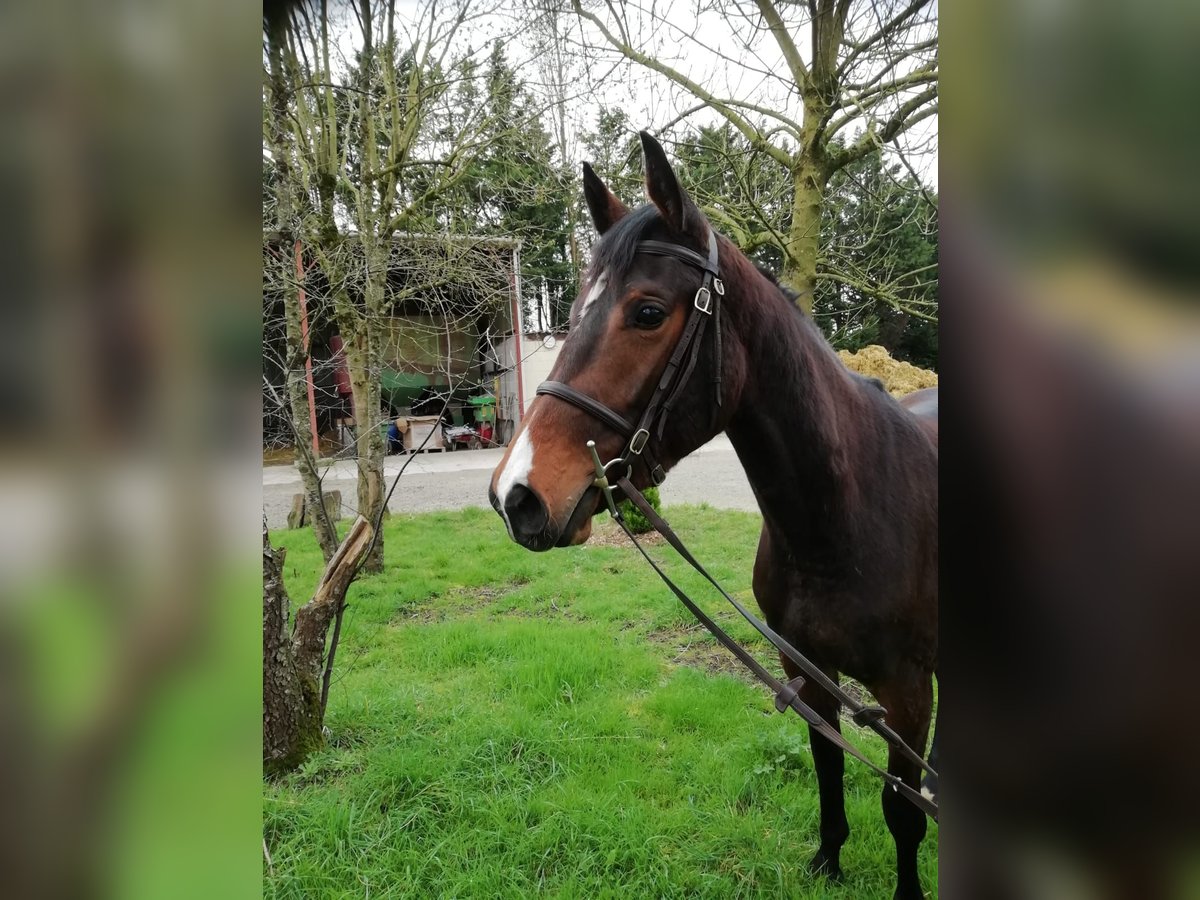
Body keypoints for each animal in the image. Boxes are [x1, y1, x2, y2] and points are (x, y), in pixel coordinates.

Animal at [487, 133, 936, 900]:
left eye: (646, 312)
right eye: (572, 310)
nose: (518, 494)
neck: (839, 522)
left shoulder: (908, 693)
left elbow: (903, 810)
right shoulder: (806, 668)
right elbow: (828, 759)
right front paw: (828, 859)